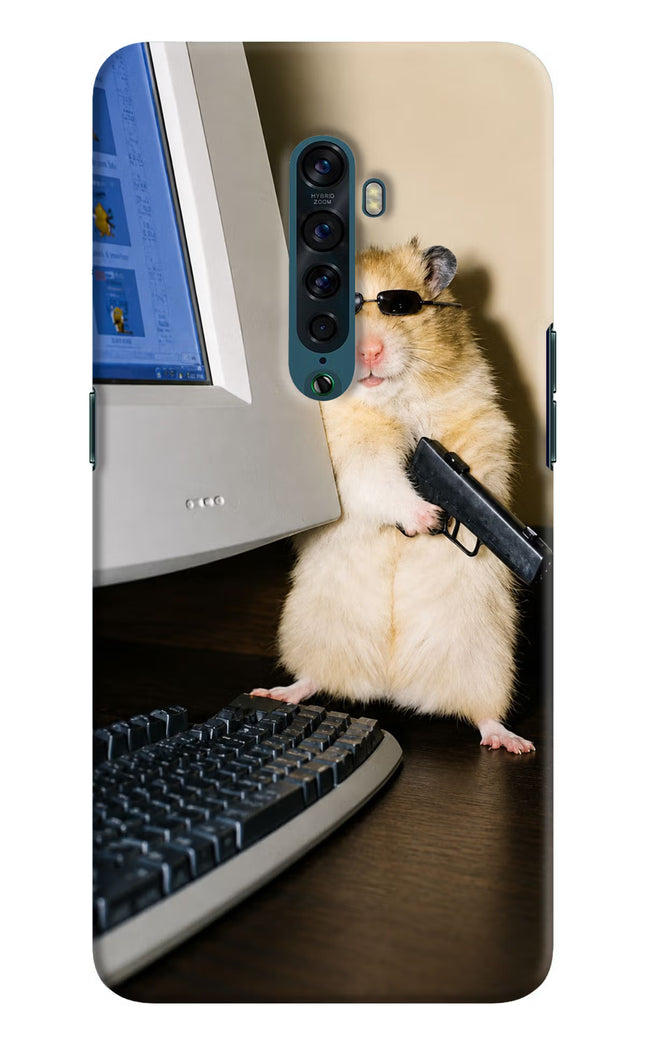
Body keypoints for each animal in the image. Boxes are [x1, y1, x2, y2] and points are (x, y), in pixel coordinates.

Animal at [252, 239, 534, 754]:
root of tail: (392, 686)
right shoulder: (350, 459)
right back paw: (276, 692)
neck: (391, 401)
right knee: (312, 678)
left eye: (399, 307)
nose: (368, 352)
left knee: (484, 714)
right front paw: (428, 518)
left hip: (487, 660)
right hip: (311, 632)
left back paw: (512, 742)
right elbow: (381, 481)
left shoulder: (480, 423)